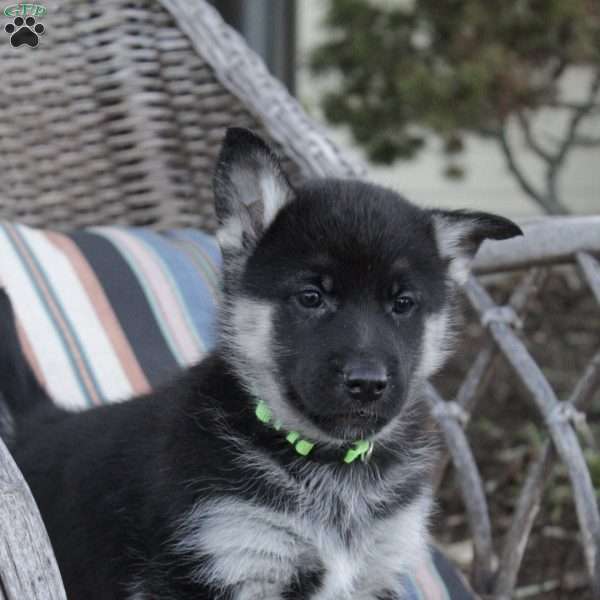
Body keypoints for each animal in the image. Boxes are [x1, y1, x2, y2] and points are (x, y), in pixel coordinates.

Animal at [0, 127, 520, 600]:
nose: (368, 383)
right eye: (311, 297)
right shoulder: (224, 561)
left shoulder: (376, 571)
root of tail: (38, 421)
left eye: (403, 304)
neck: (328, 465)